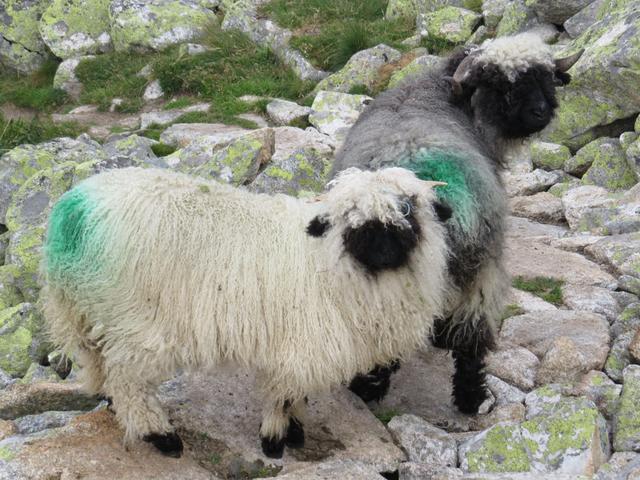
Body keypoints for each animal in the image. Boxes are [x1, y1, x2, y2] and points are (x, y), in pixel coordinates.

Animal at [41, 165, 450, 458]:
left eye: (408, 209)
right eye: (350, 217)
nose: (383, 246)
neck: (323, 260)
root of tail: (73, 212)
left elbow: (295, 394)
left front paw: (294, 430)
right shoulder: (300, 347)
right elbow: (284, 395)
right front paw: (275, 440)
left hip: (88, 309)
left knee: (99, 363)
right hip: (137, 322)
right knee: (129, 381)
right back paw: (162, 437)